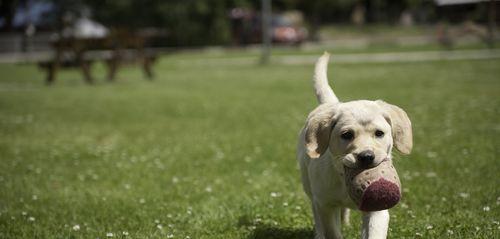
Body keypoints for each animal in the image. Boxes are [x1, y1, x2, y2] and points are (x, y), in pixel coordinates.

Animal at [296, 52, 410, 239]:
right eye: (347, 135)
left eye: (379, 133)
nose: (367, 156)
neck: (343, 177)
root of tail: (330, 103)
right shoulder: (326, 205)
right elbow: (332, 231)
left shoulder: (377, 209)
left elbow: (374, 232)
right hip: (310, 187)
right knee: (317, 214)